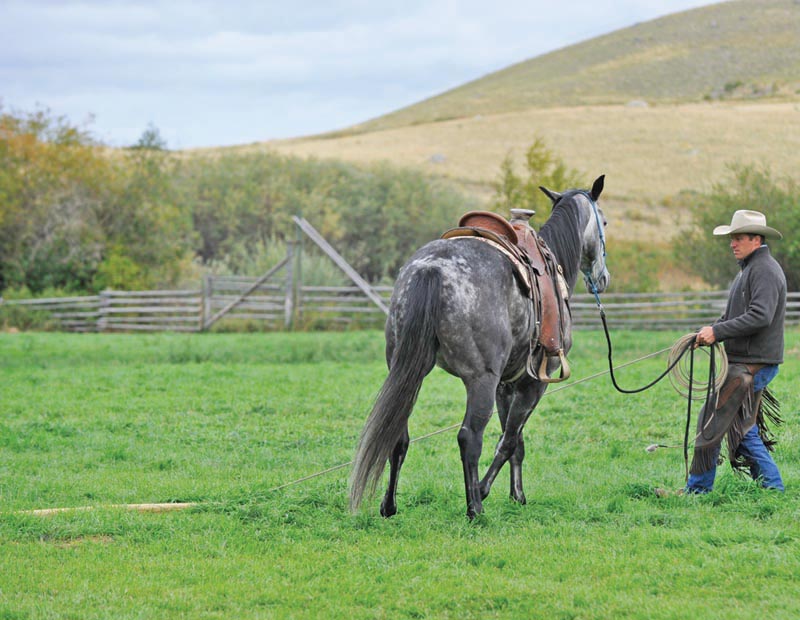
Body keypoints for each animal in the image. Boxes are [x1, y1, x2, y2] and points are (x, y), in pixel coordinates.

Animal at [349, 175, 610, 519]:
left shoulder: (506, 384)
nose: (604, 278)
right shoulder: (532, 383)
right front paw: (486, 491)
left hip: (406, 370)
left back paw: (389, 506)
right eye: (604, 221)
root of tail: (432, 268)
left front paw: (517, 495)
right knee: (469, 438)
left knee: (398, 435)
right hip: (480, 380)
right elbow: (508, 441)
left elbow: (516, 442)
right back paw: (475, 508)